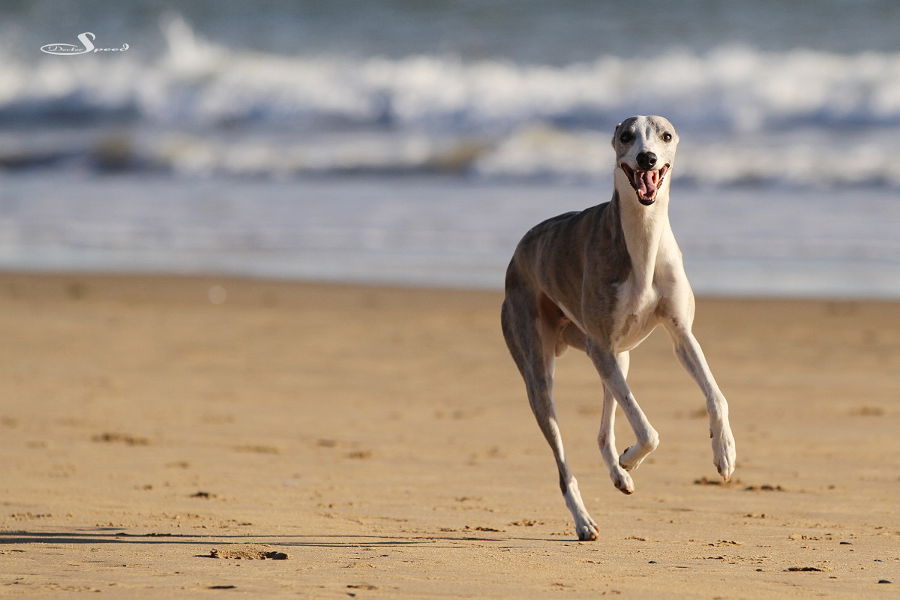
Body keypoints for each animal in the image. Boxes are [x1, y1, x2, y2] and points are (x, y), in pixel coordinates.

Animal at [500, 115, 740, 540]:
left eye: (665, 136)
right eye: (626, 136)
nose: (647, 159)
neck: (643, 238)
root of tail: (519, 251)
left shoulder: (681, 334)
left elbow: (716, 395)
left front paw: (724, 452)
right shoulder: (601, 347)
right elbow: (648, 431)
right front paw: (633, 456)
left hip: (617, 358)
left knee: (602, 431)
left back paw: (619, 474)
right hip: (542, 374)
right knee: (563, 463)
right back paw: (583, 520)